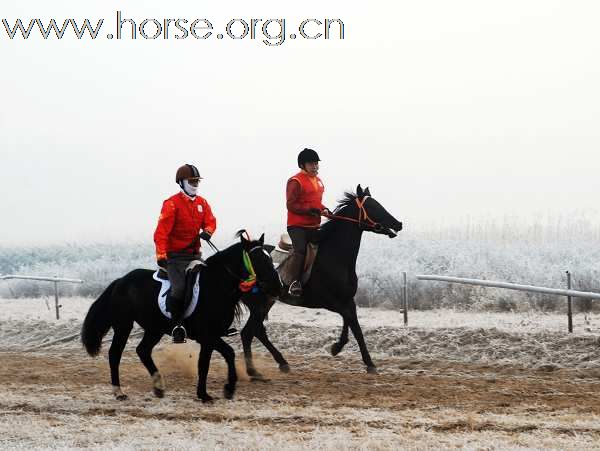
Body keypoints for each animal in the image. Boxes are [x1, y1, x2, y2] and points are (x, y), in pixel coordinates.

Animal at [80, 233, 284, 402]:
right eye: (257, 258)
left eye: (269, 257)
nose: (279, 286)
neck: (216, 286)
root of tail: (120, 281)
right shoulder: (207, 335)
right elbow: (225, 355)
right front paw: (224, 389)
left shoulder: (210, 338)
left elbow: (206, 363)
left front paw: (206, 393)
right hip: (123, 326)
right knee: (115, 354)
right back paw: (119, 392)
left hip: (154, 329)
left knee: (142, 350)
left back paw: (158, 386)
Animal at [240, 185, 404, 378]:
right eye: (372, 206)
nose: (398, 224)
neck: (335, 258)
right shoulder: (328, 301)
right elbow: (351, 322)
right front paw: (346, 352)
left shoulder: (348, 300)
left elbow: (353, 325)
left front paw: (350, 353)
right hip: (258, 303)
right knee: (252, 331)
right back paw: (264, 367)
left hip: (266, 302)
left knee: (251, 332)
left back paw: (274, 365)